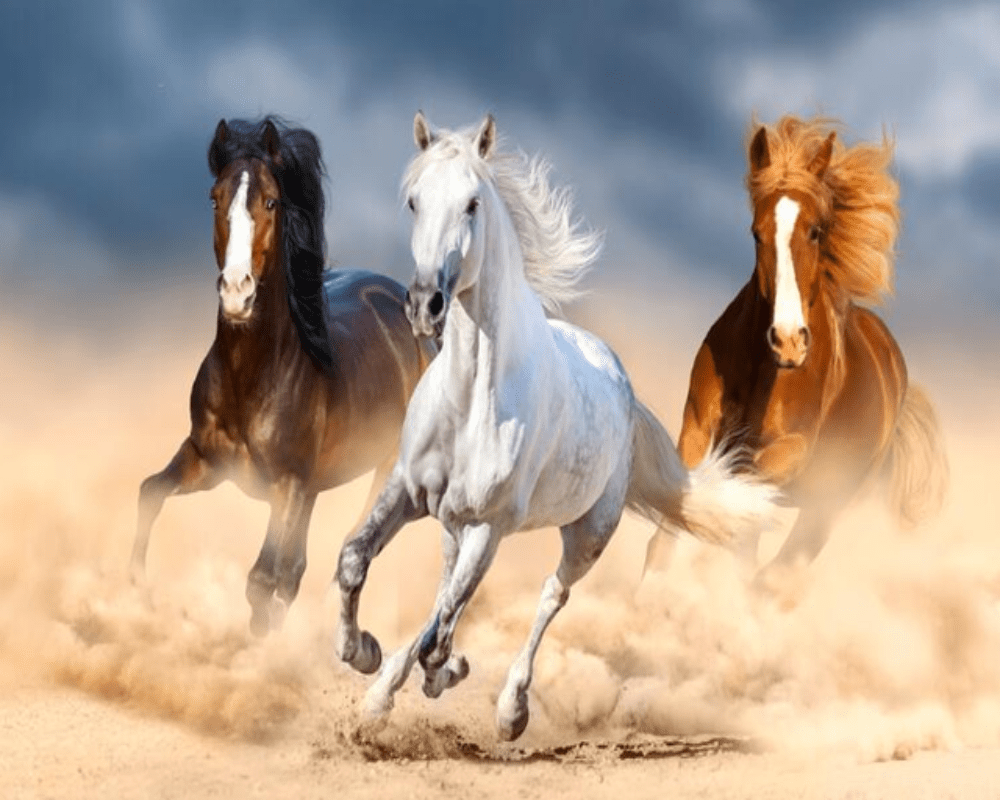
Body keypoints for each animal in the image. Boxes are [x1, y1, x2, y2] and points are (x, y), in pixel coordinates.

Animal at [131, 117, 435, 635]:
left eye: (271, 201)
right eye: (215, 198)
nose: (237, 292)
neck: (253, 377)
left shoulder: (287, 486)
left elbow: (262, 579)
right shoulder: (206, 461)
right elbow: (150, 493)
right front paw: (132, 593)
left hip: (382, 469)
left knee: (345, 549)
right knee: (298, 569)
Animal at [333, 112, 780, 741]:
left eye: (472, 203)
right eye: (414, 200)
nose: (425, 305)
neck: (471, 401)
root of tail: (621, 381)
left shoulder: (491, 525)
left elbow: (443, 626)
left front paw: (437, 674)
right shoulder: (408, 489)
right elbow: (356, 562)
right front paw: (363, 654)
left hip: (586, 533)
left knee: (549, 595)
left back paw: (509, 710)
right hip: (454, 522)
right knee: (448, 591)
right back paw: (396, 685)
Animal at [644, 115, 948, 585]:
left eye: (815, 230)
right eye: (756, 233)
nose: (788, 341)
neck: (760, 370)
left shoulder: (792, 451)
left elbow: (738, 491)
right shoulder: (695, 428)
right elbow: (671, 527)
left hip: (827, 508)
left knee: (775, 570)